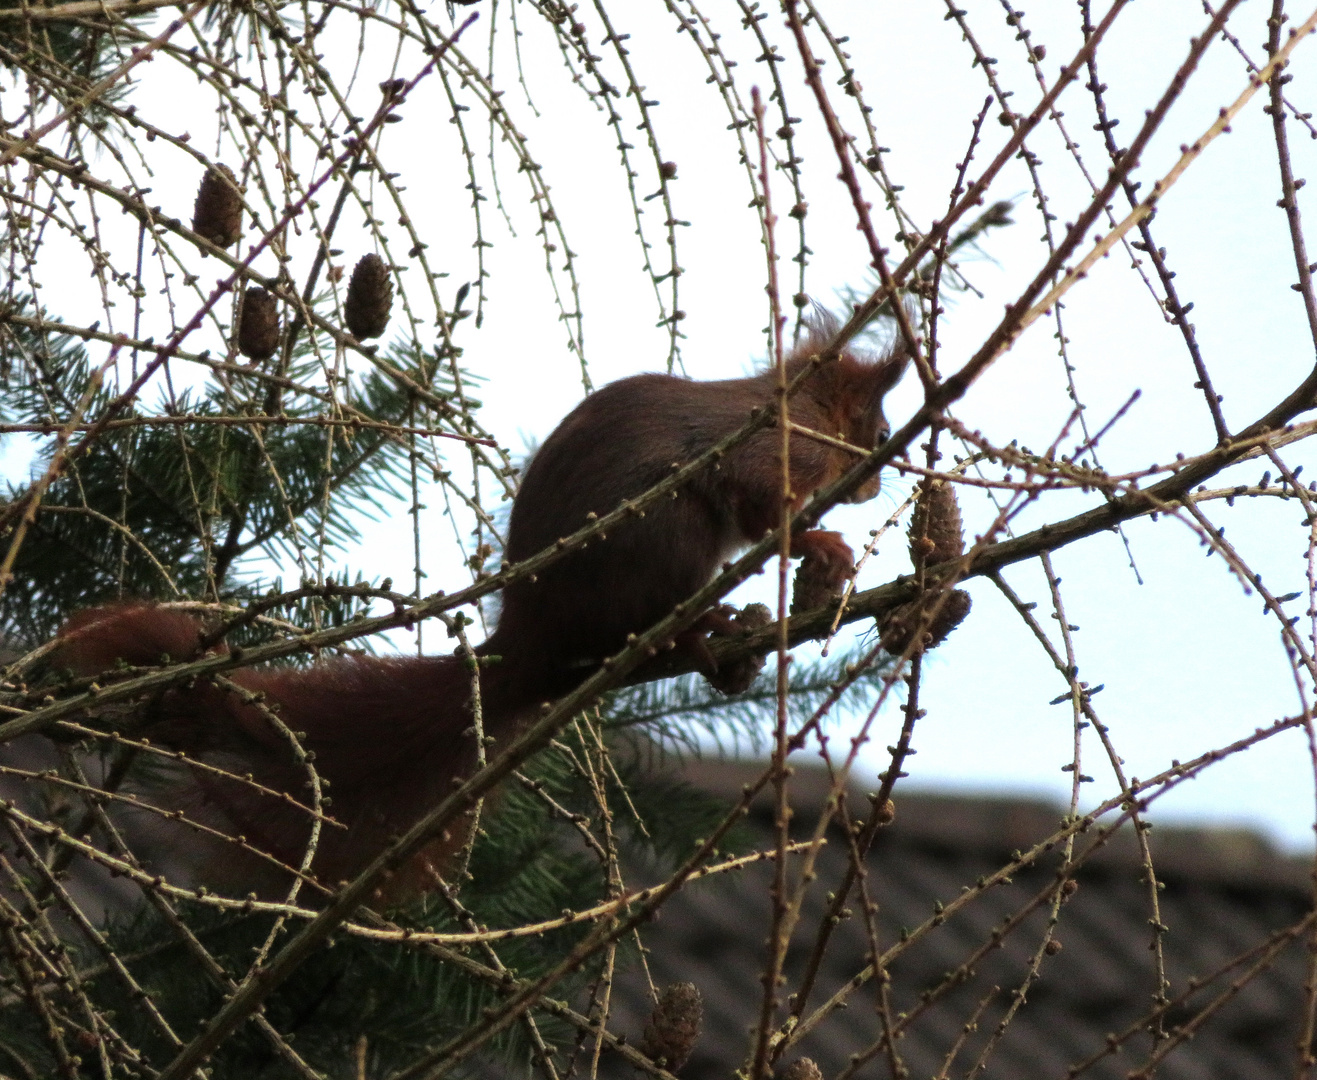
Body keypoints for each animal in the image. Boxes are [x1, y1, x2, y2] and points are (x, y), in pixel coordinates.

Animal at [48, 329, 906, 900]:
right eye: (873, 428)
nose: (874, 481)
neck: (792, 406)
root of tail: (528, 642)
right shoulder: (764, 454)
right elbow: (762, 511)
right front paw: (822, 544)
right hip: (665, 538)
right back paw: (706, 634)